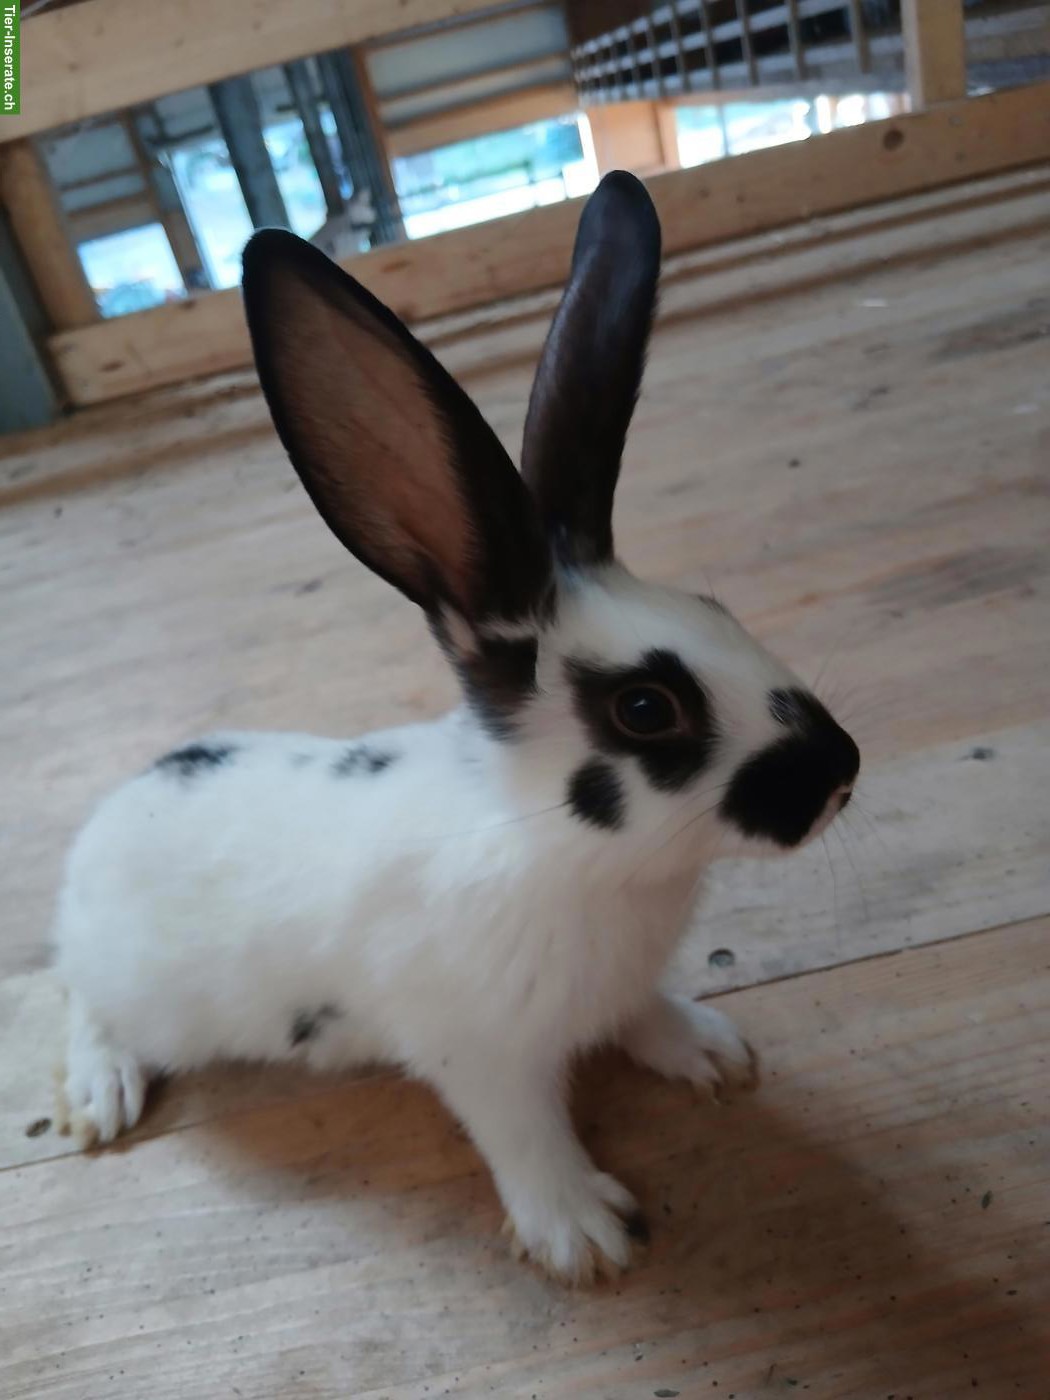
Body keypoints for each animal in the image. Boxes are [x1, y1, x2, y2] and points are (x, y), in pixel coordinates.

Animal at [53, 170, 859, 1284]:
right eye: (646, 709)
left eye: (721, 611)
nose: (841, 770)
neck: (567, 855)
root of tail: (104, 823)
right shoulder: (480, 1055)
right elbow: (523, 1134)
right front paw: (583, 1236)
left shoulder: (621, 990)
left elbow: (646, 1015)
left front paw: (712, 1054)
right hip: (147, 996)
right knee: (79, 1002)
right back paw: (100, 1096)